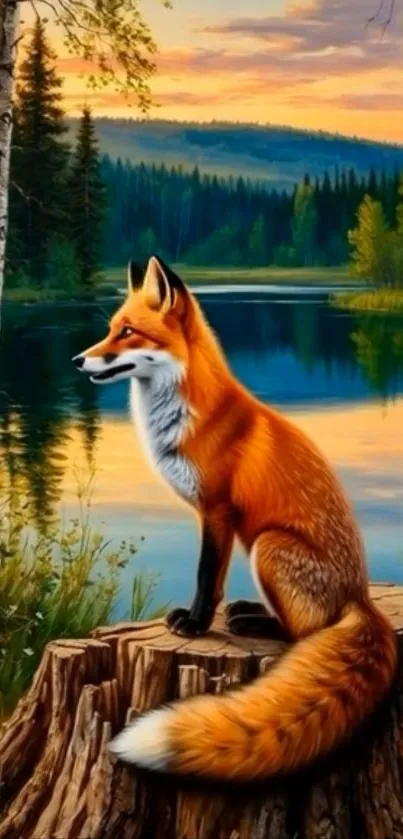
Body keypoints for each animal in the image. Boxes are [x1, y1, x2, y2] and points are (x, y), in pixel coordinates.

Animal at [72, 255, 397, 783]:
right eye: (109, 329)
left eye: (127, 332)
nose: (79, 361)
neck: (190, 416)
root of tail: (362, 598)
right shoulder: (214, 514)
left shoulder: (218, 510)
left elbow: (207, 576)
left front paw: (195, 624)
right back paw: (249, 612)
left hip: (268, 545)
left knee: (305, 633)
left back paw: (252, 623)